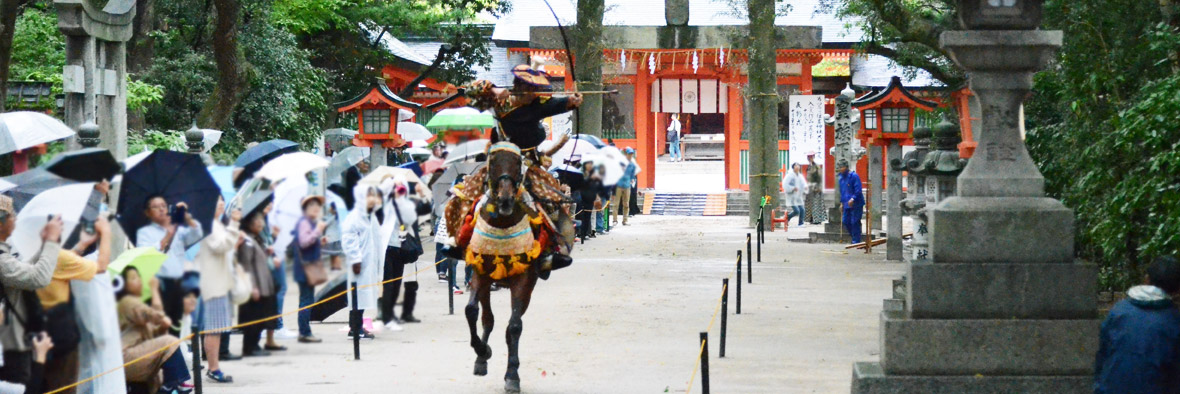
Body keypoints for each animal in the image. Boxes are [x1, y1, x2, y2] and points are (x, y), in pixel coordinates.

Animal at [448, 140, 573, 391]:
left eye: (517, 163)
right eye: (493, 161)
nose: (505, 200)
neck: (502, 221)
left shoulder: (523, 279)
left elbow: (514, 326)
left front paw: (512, 375)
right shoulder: (480, 271)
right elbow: (471, 311)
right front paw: (481, 351)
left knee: (512, 324)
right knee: (487, 318)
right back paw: (481, 359)